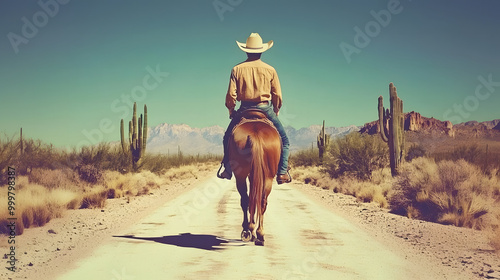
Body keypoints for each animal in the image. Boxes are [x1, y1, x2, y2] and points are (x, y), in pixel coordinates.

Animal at [228, 111, 282, 245]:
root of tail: (255, 133)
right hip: (268, 177)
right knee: (261, 201)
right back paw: (259, 233)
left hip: (241, 176)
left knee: (246, 199)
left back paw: (248, 230)